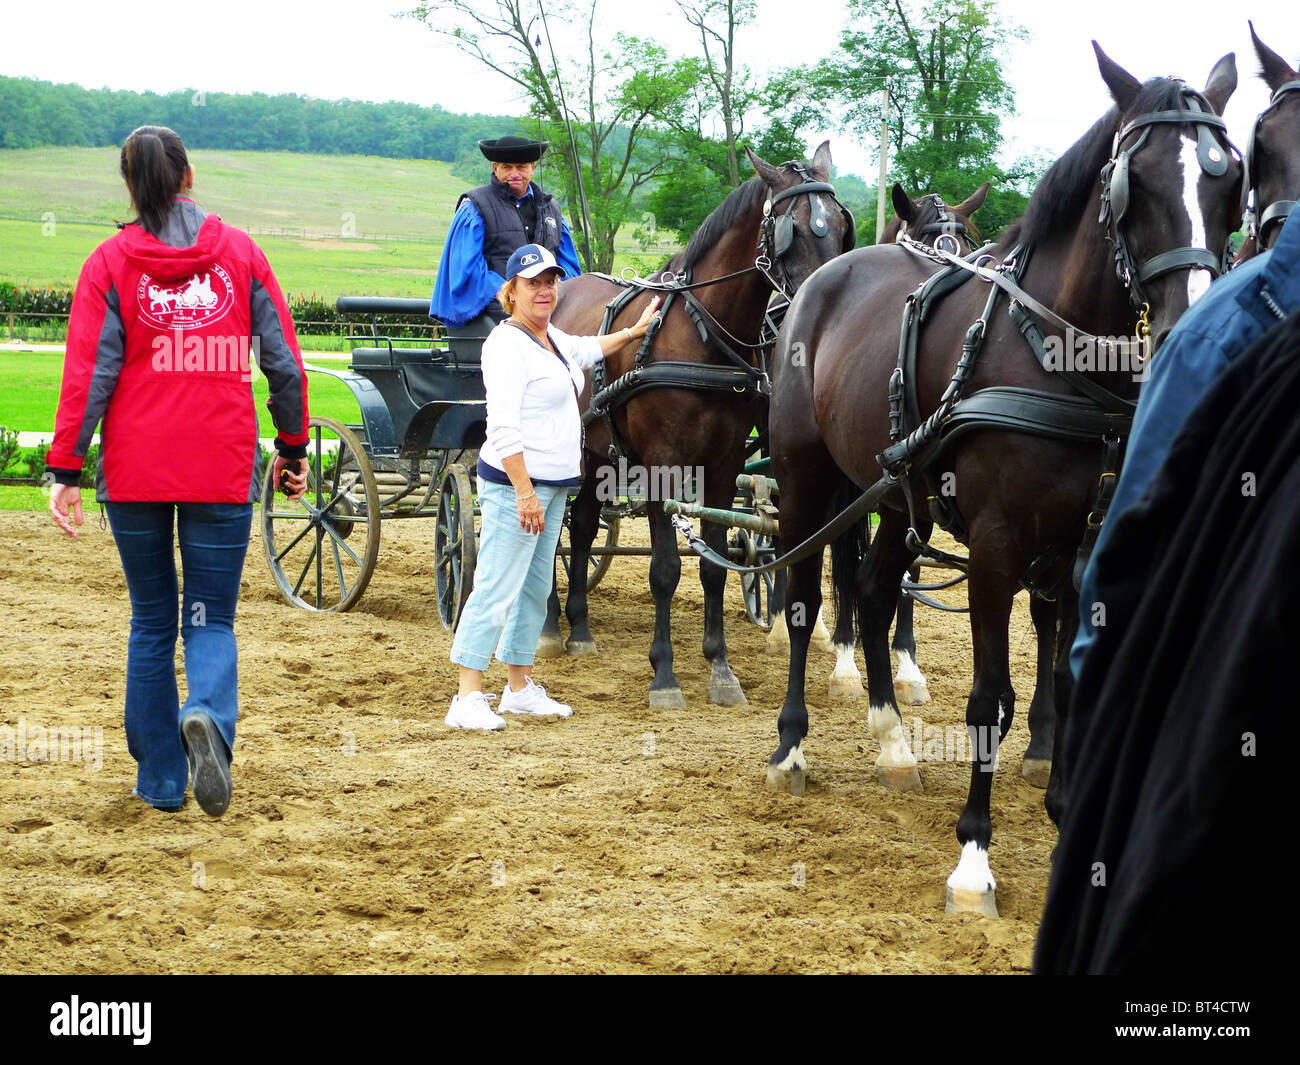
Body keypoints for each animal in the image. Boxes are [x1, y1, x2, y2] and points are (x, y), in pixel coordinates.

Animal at [546, 141, 857, 707]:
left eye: (841, 226)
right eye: (794, 228)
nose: (827, 298)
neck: (702, 336)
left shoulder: (724, 462)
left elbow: (713, 565)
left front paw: (720, 668)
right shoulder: (659, 465)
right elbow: (665, 569)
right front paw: (664, 675)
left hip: (599, 452)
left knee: (580, 528)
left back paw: (579, 628)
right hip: (572, 450)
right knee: (552, 527)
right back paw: (549, 625)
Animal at [764, 47, 1242, 915]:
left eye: (1232, 181)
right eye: (1135, 183)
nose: (1193, 324)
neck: (1054, 353)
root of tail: (819, 283)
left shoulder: (1080, 547)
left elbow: (1065, 674)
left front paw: (1060, 815)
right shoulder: (994, 546)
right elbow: (989, 694)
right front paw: (974, 858)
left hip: (900, 496)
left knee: (877, 590)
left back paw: (892, 741)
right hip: (807, 479)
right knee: (808, 597)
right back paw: (791, 747)